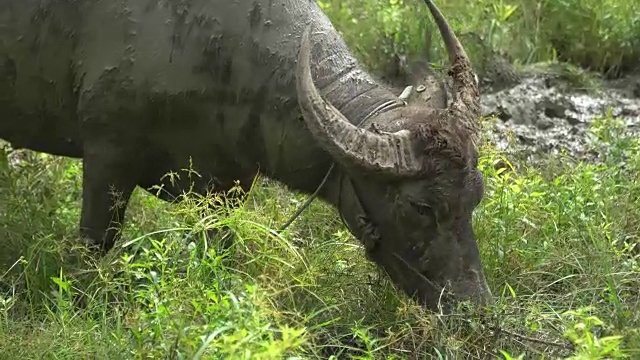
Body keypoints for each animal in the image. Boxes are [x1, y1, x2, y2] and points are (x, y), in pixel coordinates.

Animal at [0, 0, 490, 310]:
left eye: (476, 196)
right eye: (419, 207)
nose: (476, 307)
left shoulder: (229, 185)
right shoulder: (107, 154)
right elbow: (95, 244)